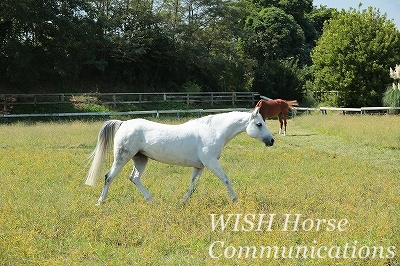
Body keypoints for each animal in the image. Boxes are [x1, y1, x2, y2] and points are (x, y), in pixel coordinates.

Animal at [85, 107, 274, 205]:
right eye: (259, 124)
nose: (271, 140)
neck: (213, 131)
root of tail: (123, 123)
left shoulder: (199, 166)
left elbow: (192, 186)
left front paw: (182, 202)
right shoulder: (211, 162)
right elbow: (226, 179)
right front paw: (235, 200)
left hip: (140, 158)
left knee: (134, 178)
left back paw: (151, 200)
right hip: (122, 157)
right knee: (109, 177)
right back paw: (100, 202)